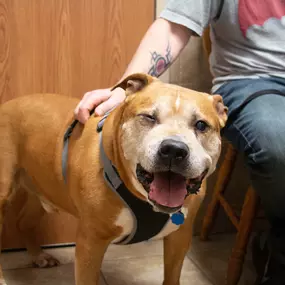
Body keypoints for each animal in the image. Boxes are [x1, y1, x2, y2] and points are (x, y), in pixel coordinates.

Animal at [0, 74, 226, 284]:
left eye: (201, 125)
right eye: (149, 117)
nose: (173, 149)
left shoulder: (179, 237)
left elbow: (172, 276)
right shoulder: (90, 243)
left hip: (44, 188)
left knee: (24, 222)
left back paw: (38, 256)